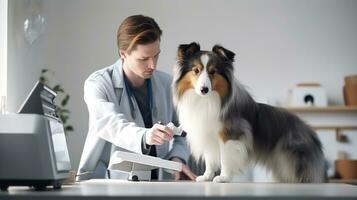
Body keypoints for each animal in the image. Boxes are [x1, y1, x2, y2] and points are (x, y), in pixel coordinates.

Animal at [172, 42, 326, 183]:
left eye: (213, 71)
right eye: (196, 70)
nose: (204, 89)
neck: (206, 101)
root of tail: (310, 132)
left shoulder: (230, 135)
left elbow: (225, 158)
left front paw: (223, 178)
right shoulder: (208, 135)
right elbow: (210, 160)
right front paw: (206, 177)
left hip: (295, 163)